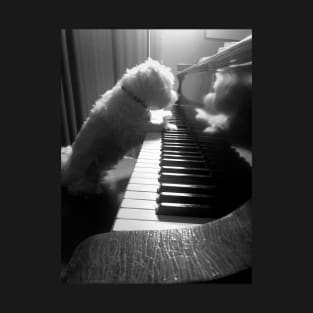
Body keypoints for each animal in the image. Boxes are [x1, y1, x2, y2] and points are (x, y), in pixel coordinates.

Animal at [61, 58, 177, 195]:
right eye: (167, 86)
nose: (176, 97)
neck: (133, 98)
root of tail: (65, 171)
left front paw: (165, 114)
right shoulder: (132, 133)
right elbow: (150, 126)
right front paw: (167, 124)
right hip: (83, 173)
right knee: (79, 186)